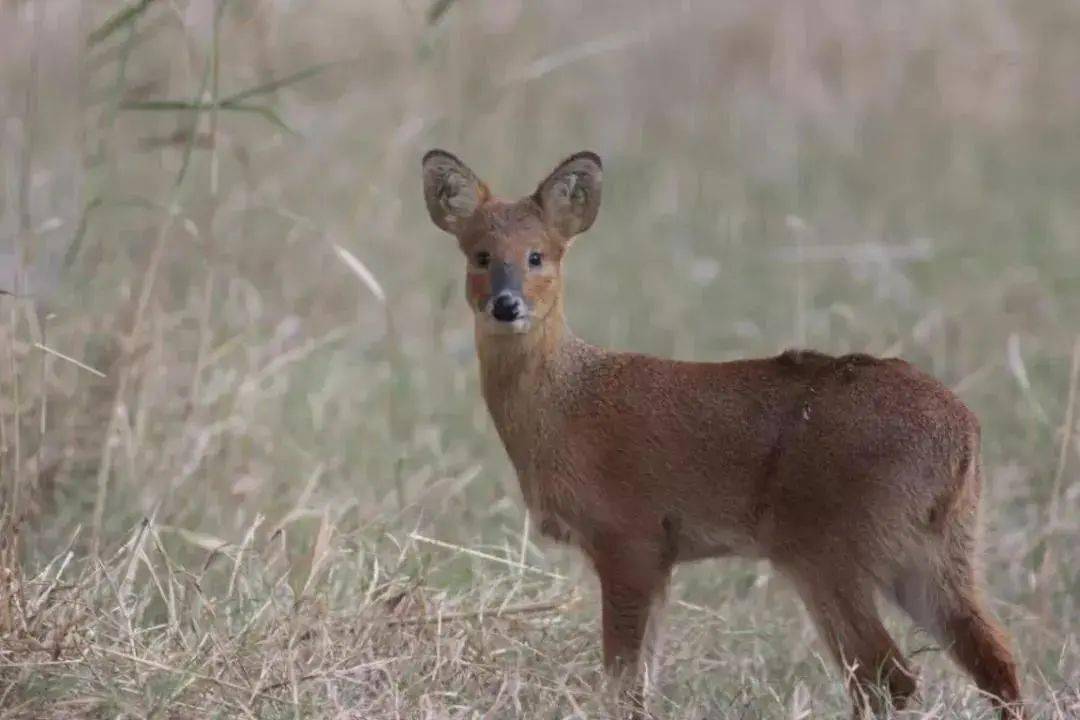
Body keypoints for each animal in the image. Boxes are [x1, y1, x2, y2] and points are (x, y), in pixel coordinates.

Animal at [416, 148, 1023, 716]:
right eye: (480, 255)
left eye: (537, 255)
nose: (506, 304)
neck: (568, 405)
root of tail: (963, 436)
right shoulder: (661, 556)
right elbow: (642, 680)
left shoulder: (629, 537)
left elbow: (623, 681)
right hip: (941, 551)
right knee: (995, 659)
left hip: (831, 549)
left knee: (888, 675)